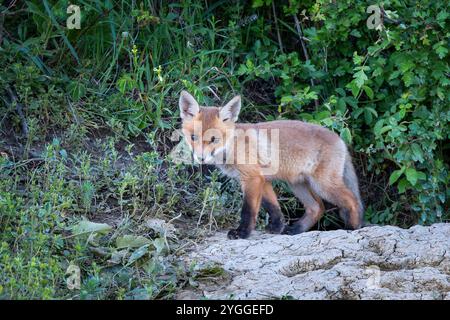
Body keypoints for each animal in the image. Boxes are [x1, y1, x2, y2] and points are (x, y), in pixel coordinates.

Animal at [178, 91, 364, 239]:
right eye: (193, 137)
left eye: (214, 139)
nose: (200, 158)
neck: (233, 146)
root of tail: (340, 139)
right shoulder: (263, 179)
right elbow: (273, 207)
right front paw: (276, 227)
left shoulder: (252, 178)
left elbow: (248, 210)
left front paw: (242, 233)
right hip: (297, 184)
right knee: (317, 207)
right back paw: (295, 230)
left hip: (323, 185)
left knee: (352, 200)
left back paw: (352, 228)